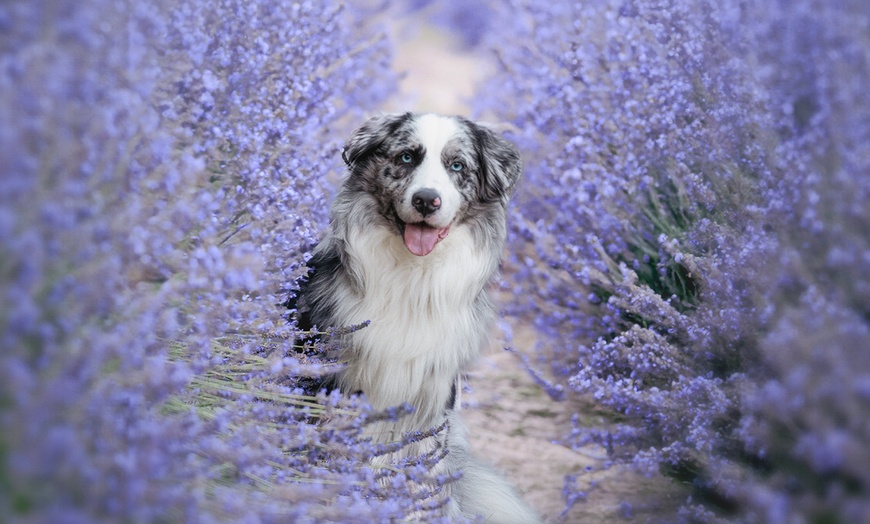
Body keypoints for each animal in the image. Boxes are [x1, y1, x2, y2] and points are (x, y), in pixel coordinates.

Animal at [290, 112, 540, 520]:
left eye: (457, 166)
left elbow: (422, 472)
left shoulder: (429, 398)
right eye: (407, 157)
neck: (413, 278)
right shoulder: (327, 382)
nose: (426, 200)